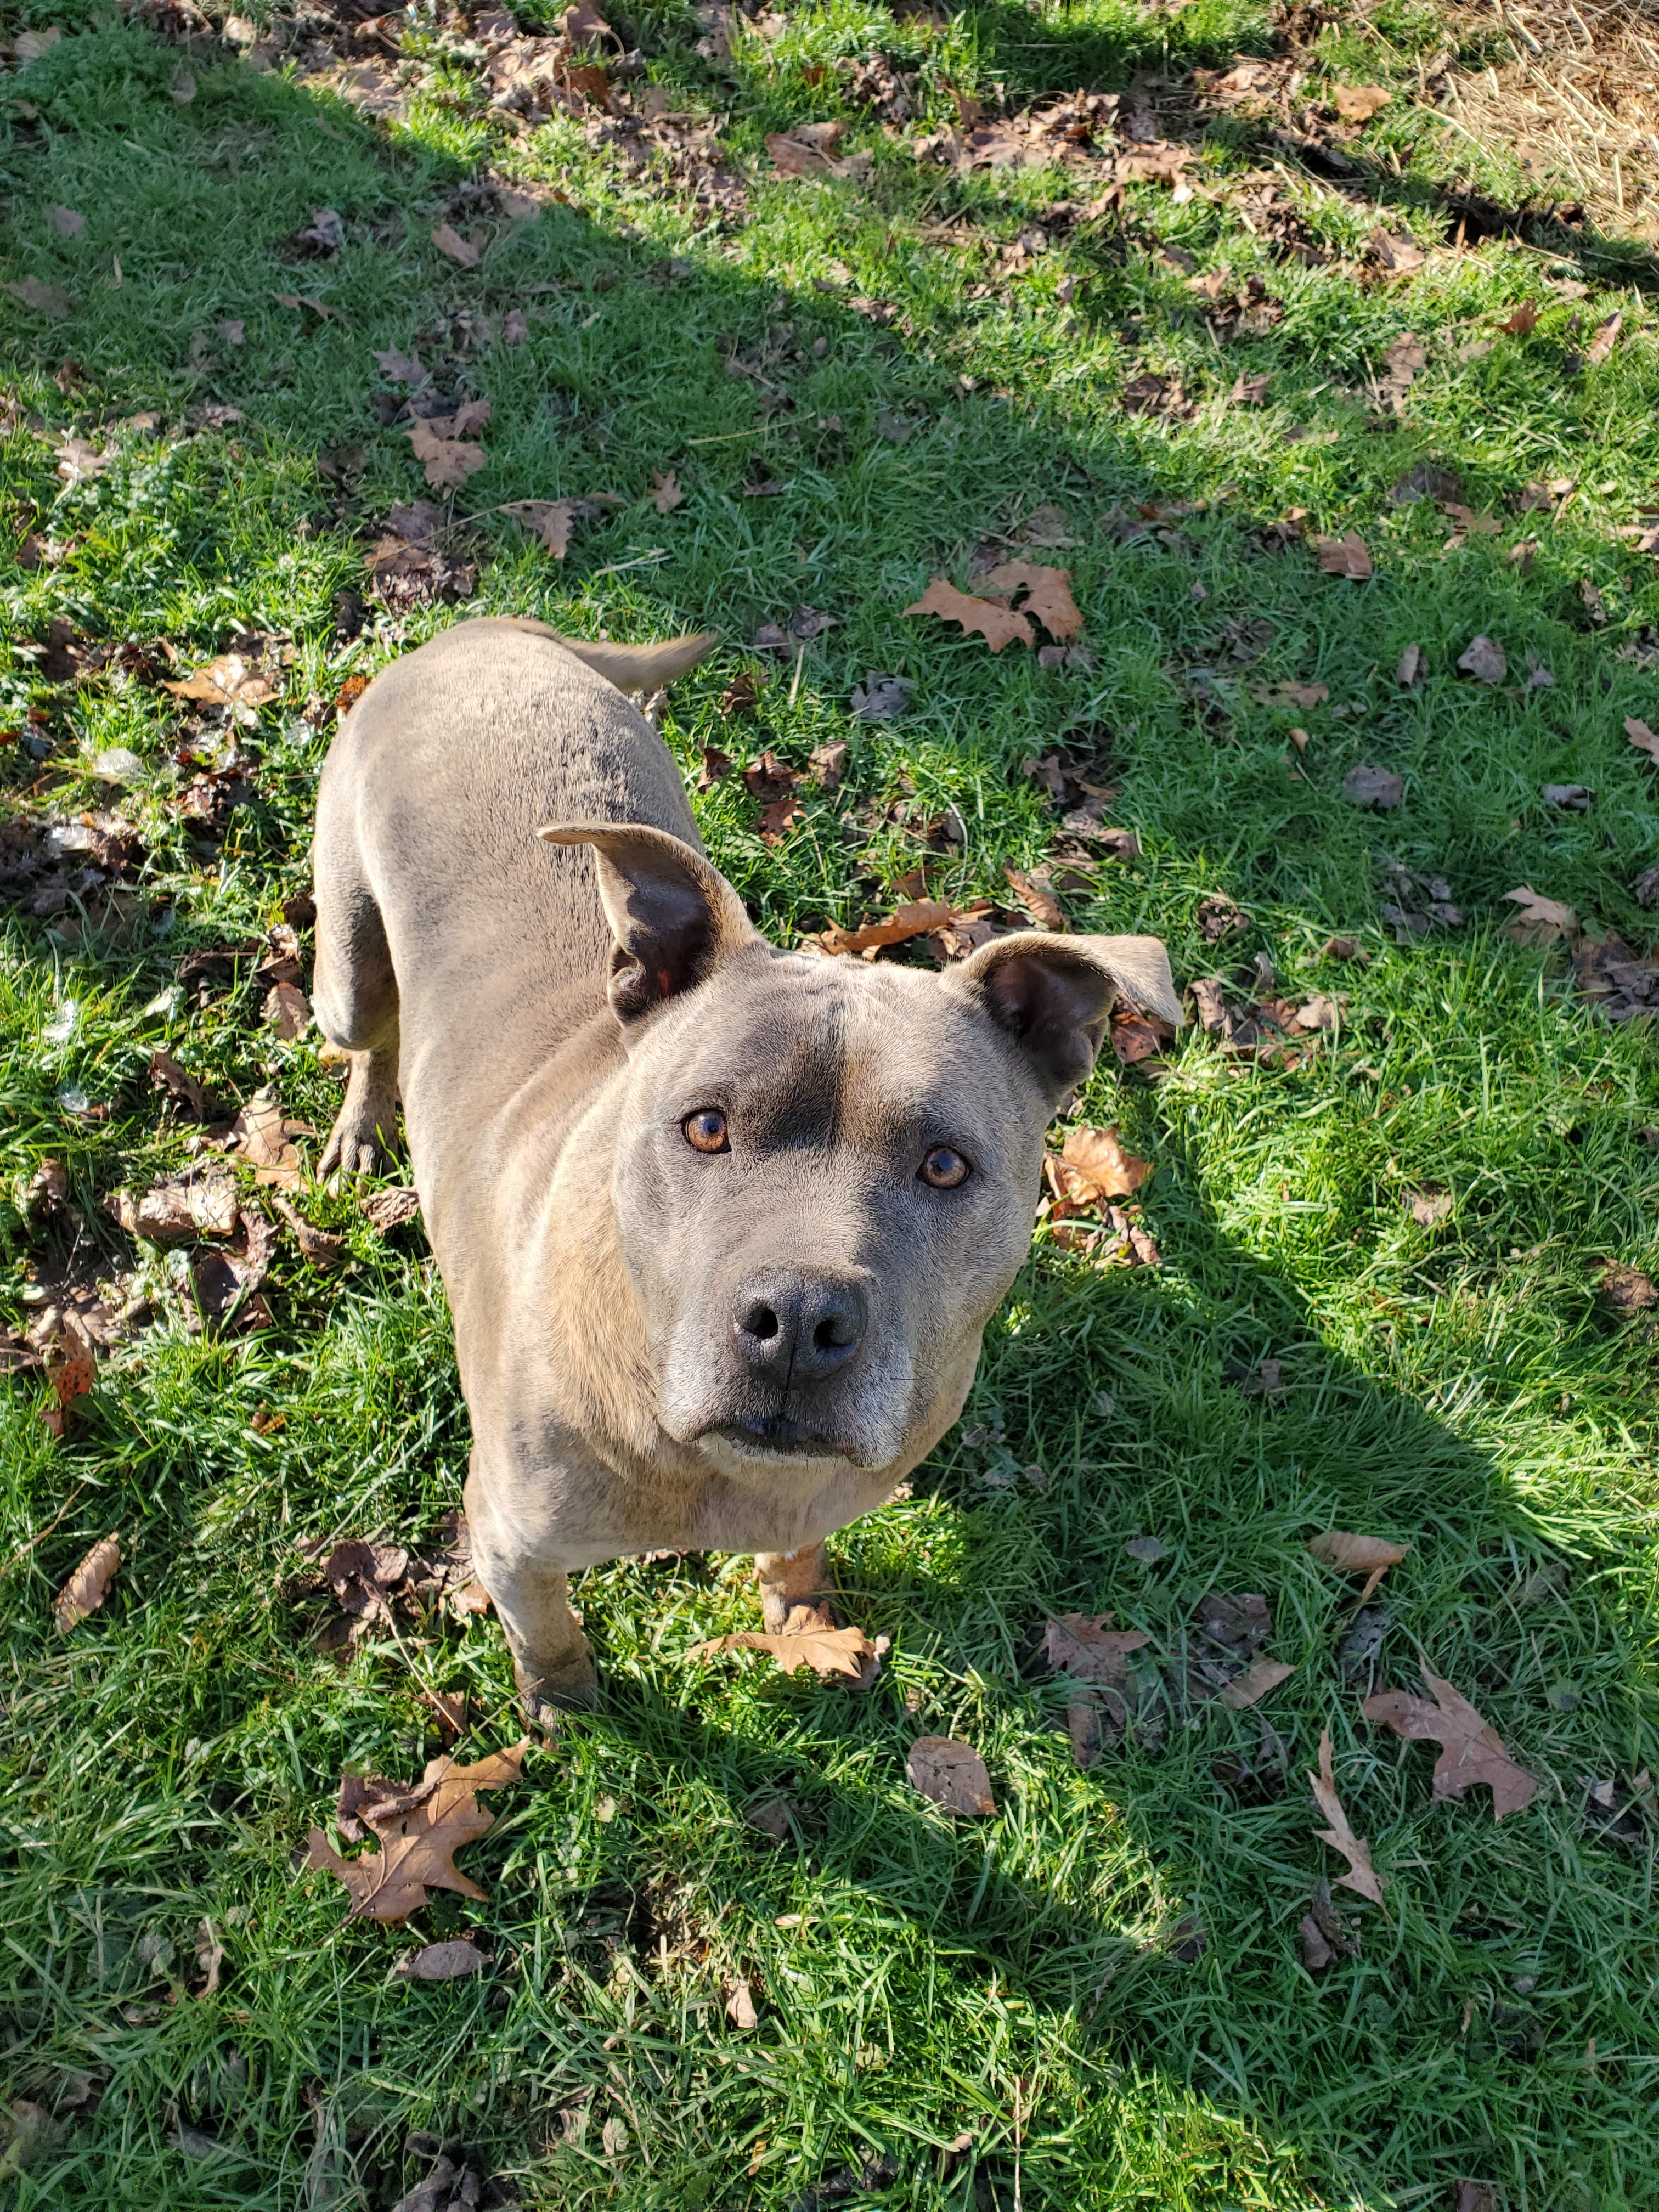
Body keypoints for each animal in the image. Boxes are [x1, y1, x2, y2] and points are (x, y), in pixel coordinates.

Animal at [312, 614, 1186, 1716]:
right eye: (704, 1128)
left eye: (946, 1166)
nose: (799, 1323)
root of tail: (482, 630)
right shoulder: (511, 1542)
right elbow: (546, 1631)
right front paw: (566, 1704)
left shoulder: (823, 1493)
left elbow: (799, 1552)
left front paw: (799, 1613)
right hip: (345, 963)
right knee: (367, 1034)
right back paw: (361, 1122)